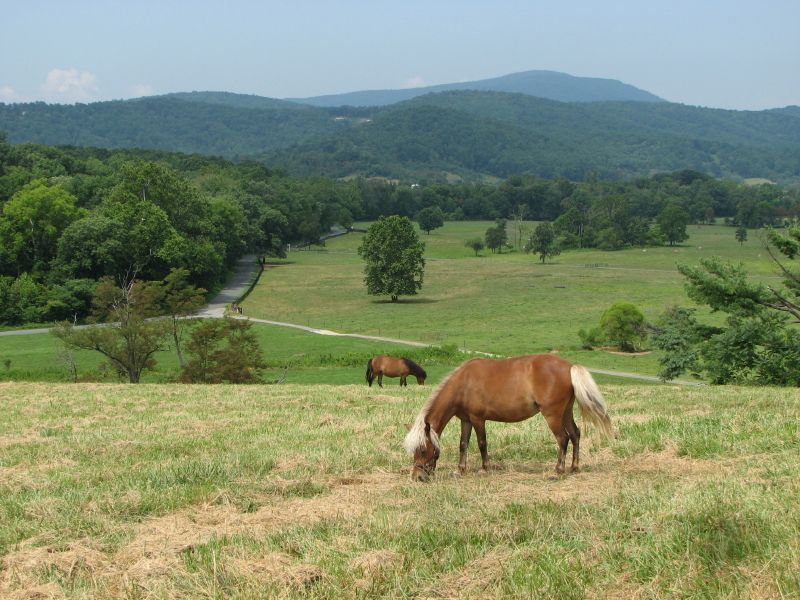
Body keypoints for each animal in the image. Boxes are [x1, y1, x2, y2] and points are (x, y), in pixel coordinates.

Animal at [403, 354, 612, 482]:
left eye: (423, 450)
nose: (417, 477)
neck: (463, 383)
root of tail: (569, 367)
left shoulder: (478, 419)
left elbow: (481, 443)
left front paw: (484, 468)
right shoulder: (466, 420)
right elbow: (463, 444)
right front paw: (460, 470)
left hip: (553, 415)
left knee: (563, 438)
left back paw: (557, 471)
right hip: (566, 412)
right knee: (575, 434)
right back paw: (574, 468)